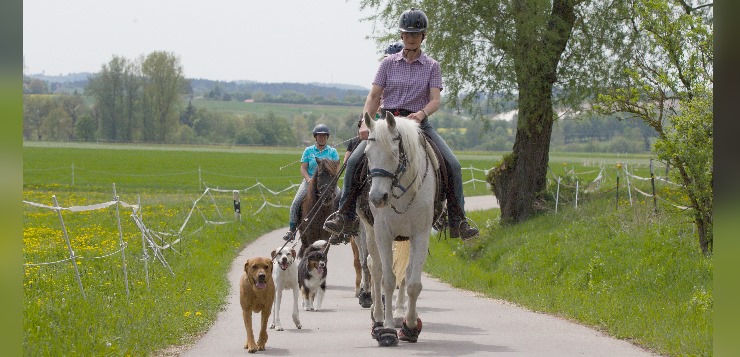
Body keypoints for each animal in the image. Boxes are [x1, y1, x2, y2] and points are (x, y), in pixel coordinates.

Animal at [360, 111, 440, 344]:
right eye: (367, 153)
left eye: (395, 153)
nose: (377, 198)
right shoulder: (383, 234)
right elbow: (388, 280)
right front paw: (387, 329)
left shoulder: (420, 235)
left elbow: (412, 282)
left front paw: (410, 325)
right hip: (370, 233)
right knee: (375, 269)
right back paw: (377, 318)